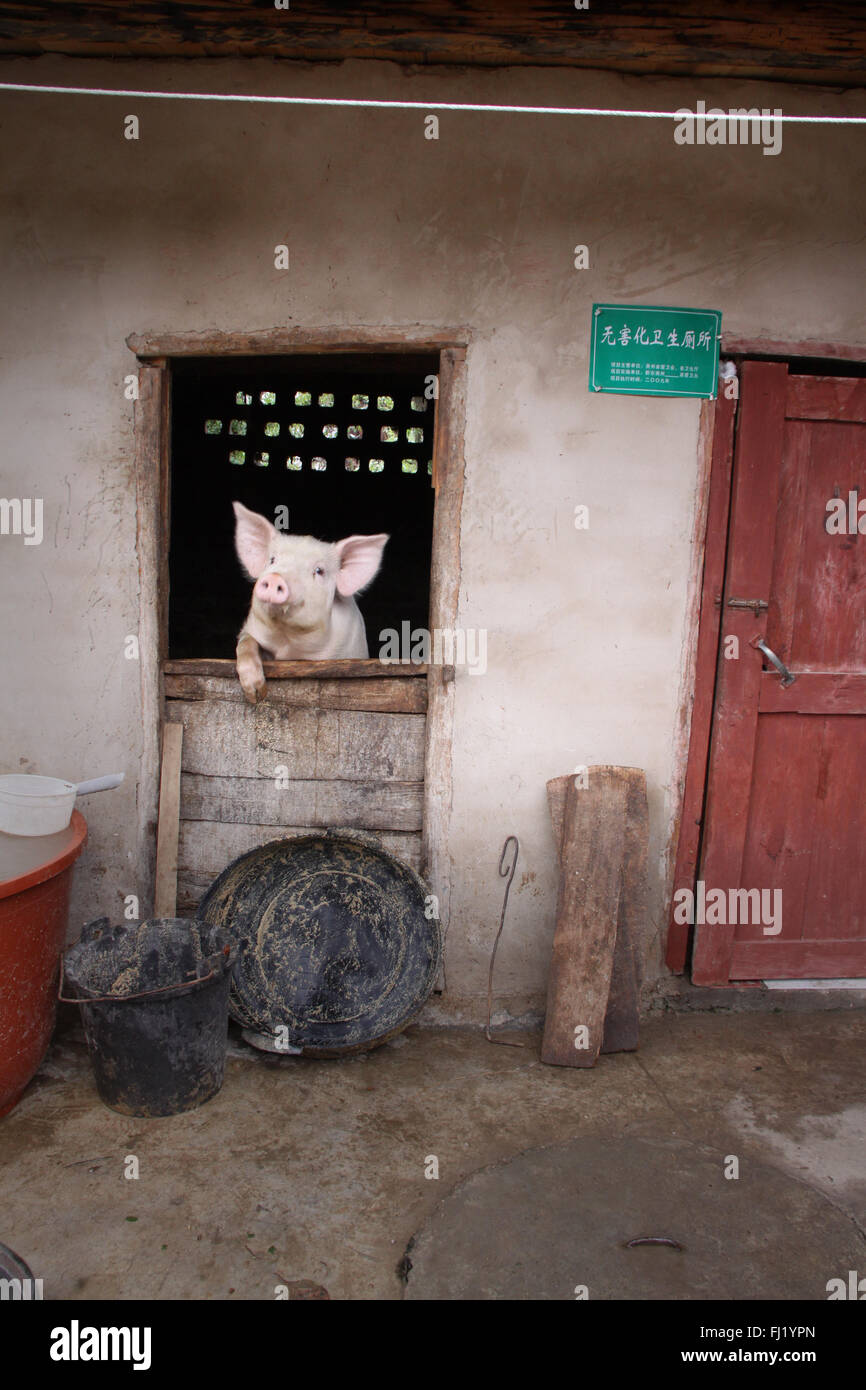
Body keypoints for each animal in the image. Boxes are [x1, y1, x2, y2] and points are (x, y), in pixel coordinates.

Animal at [233, 500, 389, 706]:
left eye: (319, 571)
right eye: (272, 560)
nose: (275, 577)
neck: (288, 641)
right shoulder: (250, 629)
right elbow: (246, 643)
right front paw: (256, 694)